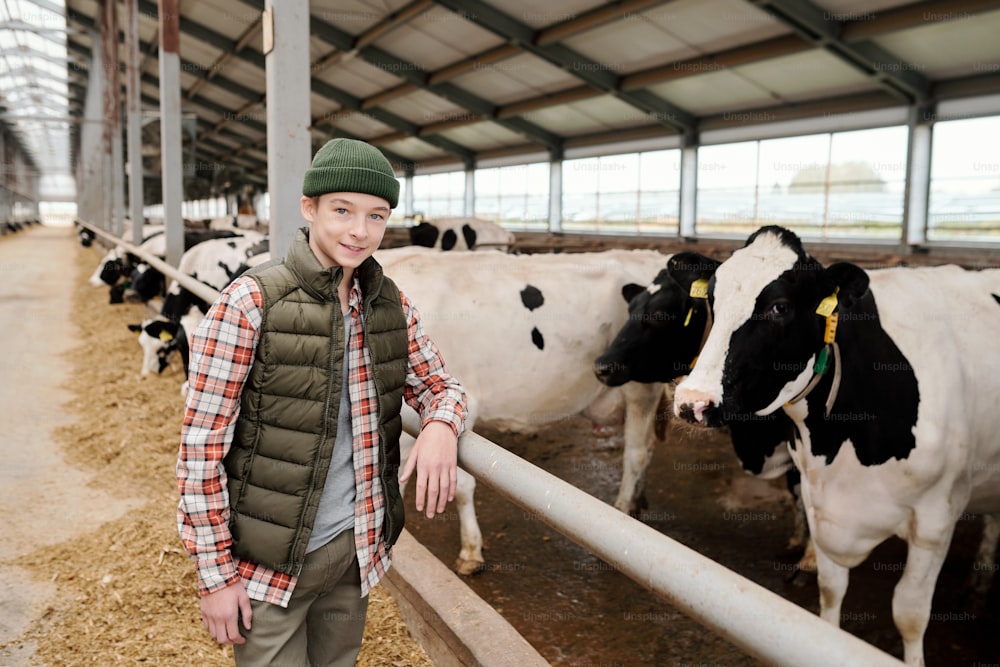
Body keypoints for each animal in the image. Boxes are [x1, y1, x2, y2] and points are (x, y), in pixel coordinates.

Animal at [676, 226, 1000, 667]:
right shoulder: (819, 503)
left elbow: (910, 613)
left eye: (779, 307)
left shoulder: (937, 518)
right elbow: (830, 592)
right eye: (712, 297)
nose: (692, 401)